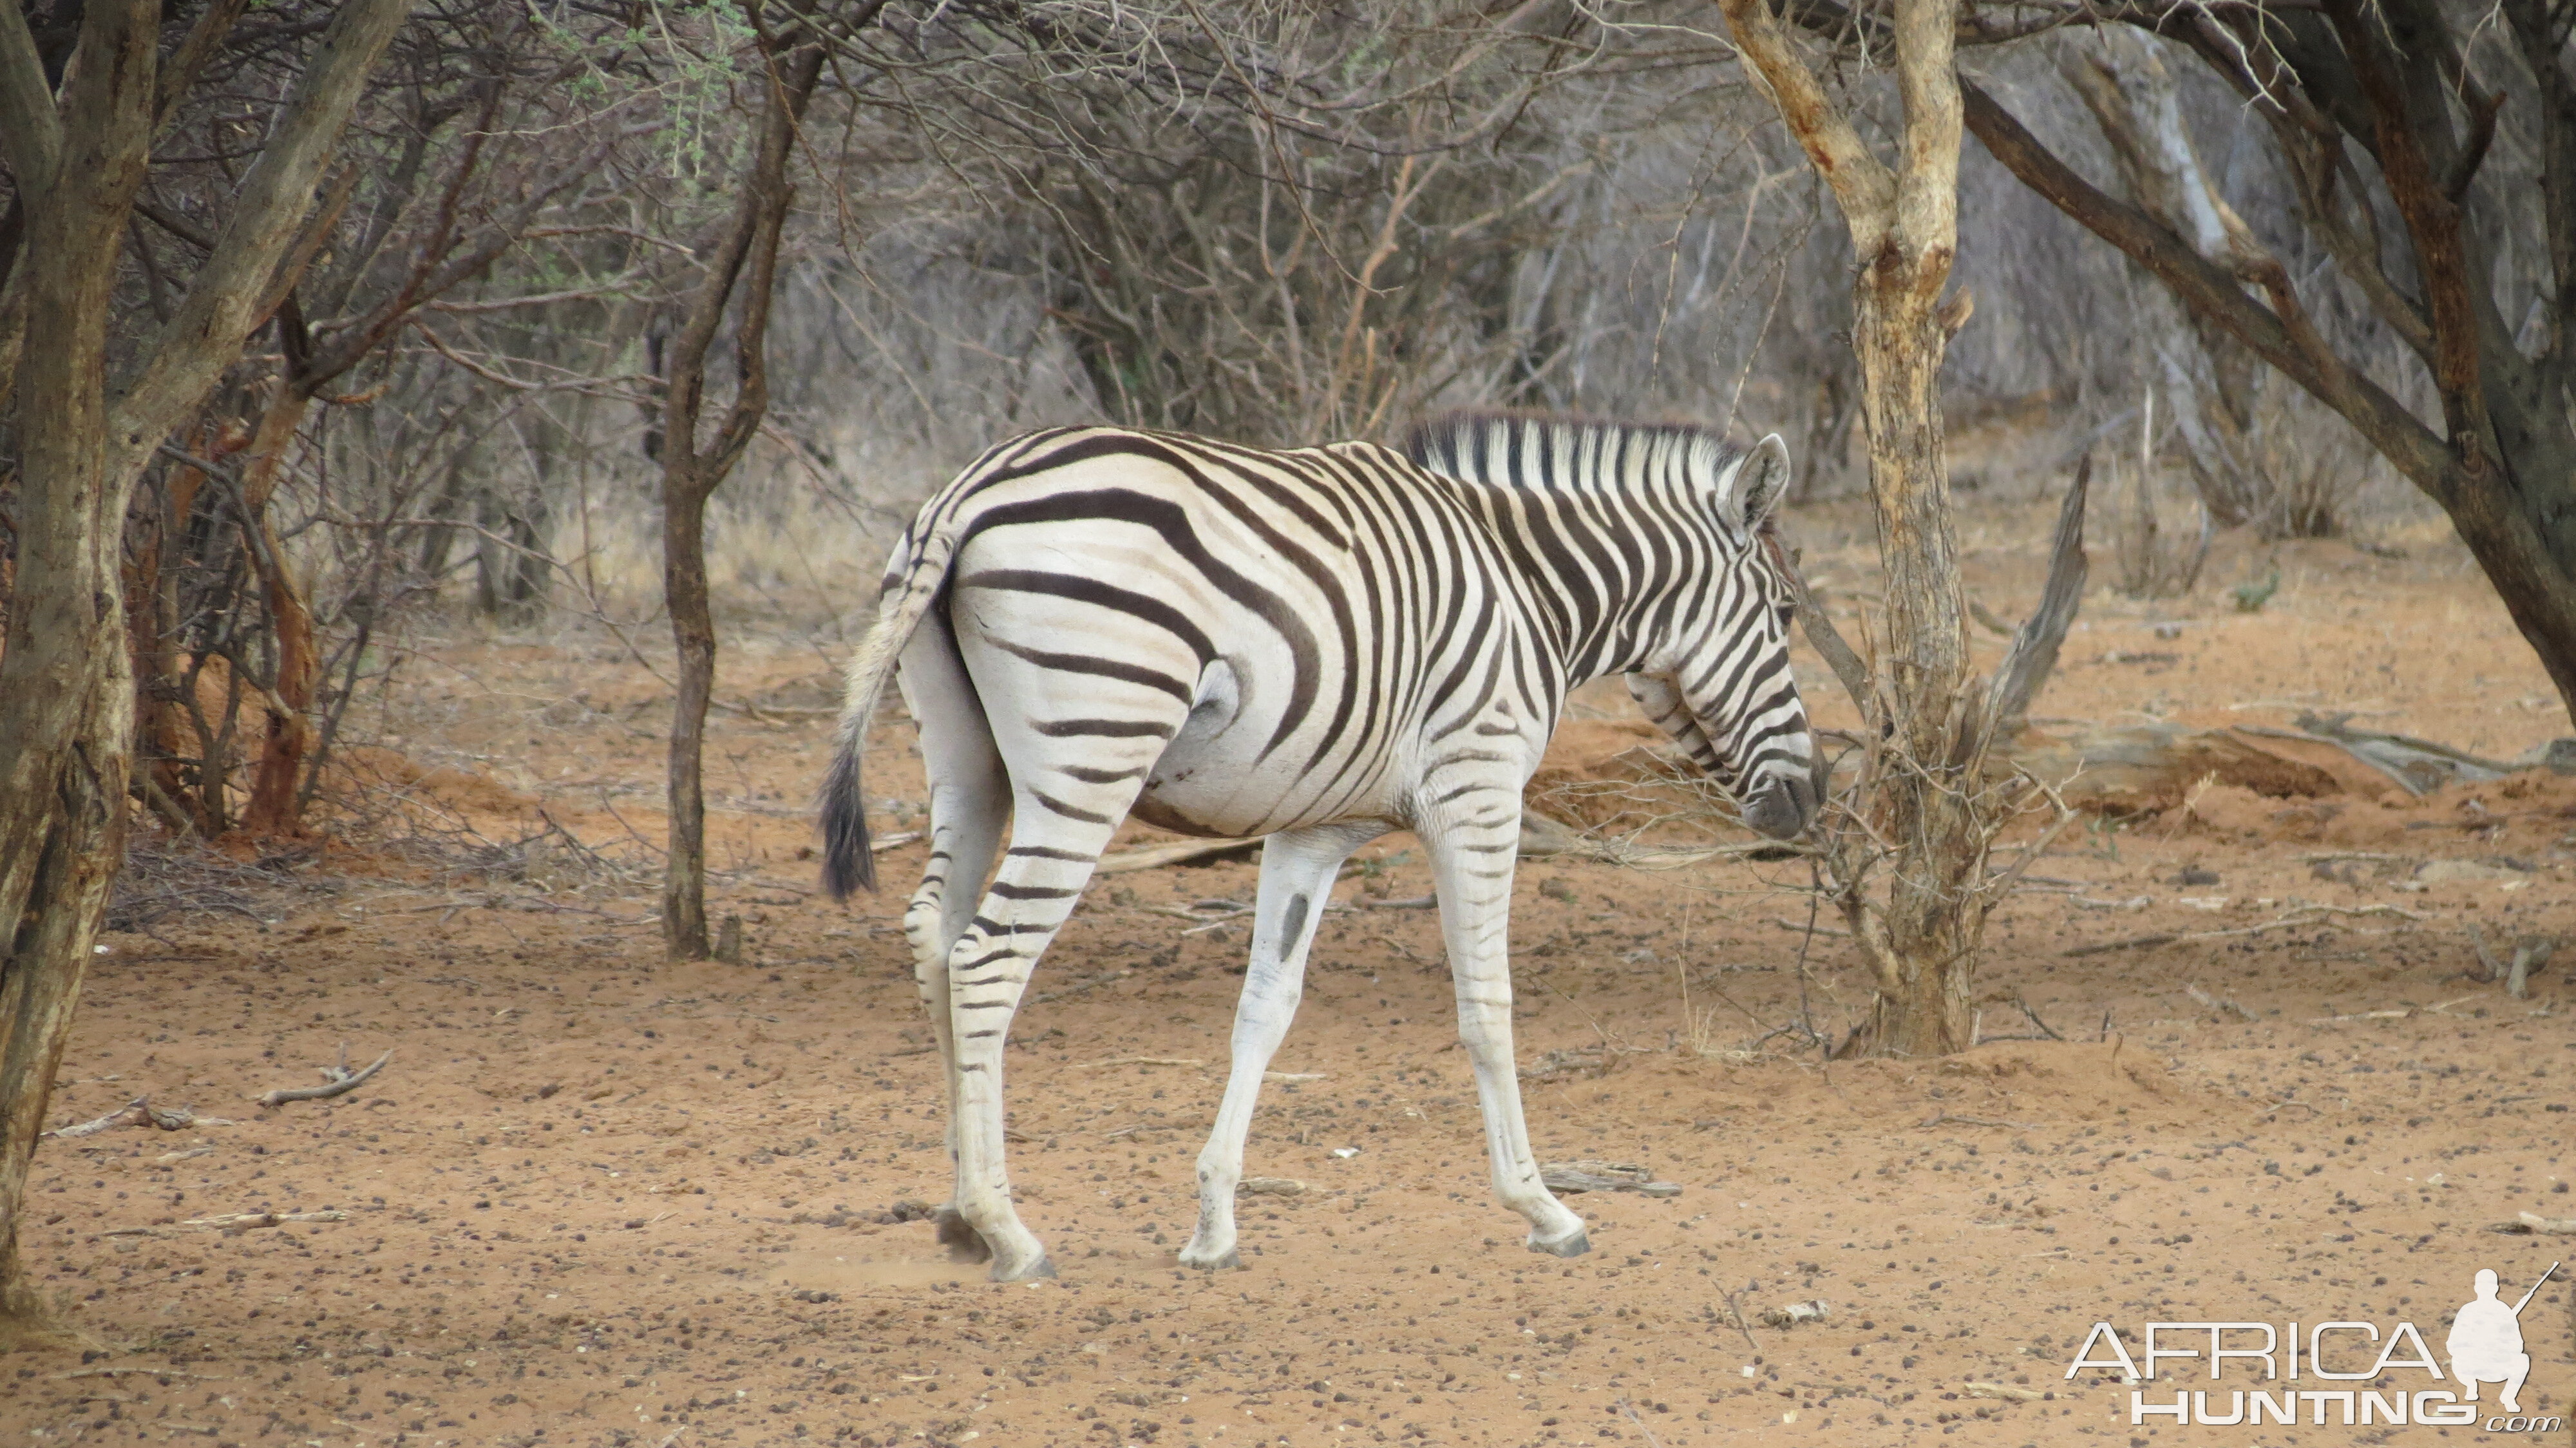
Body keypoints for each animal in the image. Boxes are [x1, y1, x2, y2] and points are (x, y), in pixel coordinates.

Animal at [819, 410, 1814, 1273]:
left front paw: (1214, 1223)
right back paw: (1008, 1230)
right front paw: (1543, 1208)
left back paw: (957, 1216)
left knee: (936, 935)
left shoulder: (1315, 827)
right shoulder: (1478, 788)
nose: (1808, 803)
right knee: (989, 959)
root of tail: (967, 494)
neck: (1530, 587)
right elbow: (1487, 1005)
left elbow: (1266, 1007)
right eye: (1786, 614)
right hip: (1093, 751)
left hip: (967, 760)